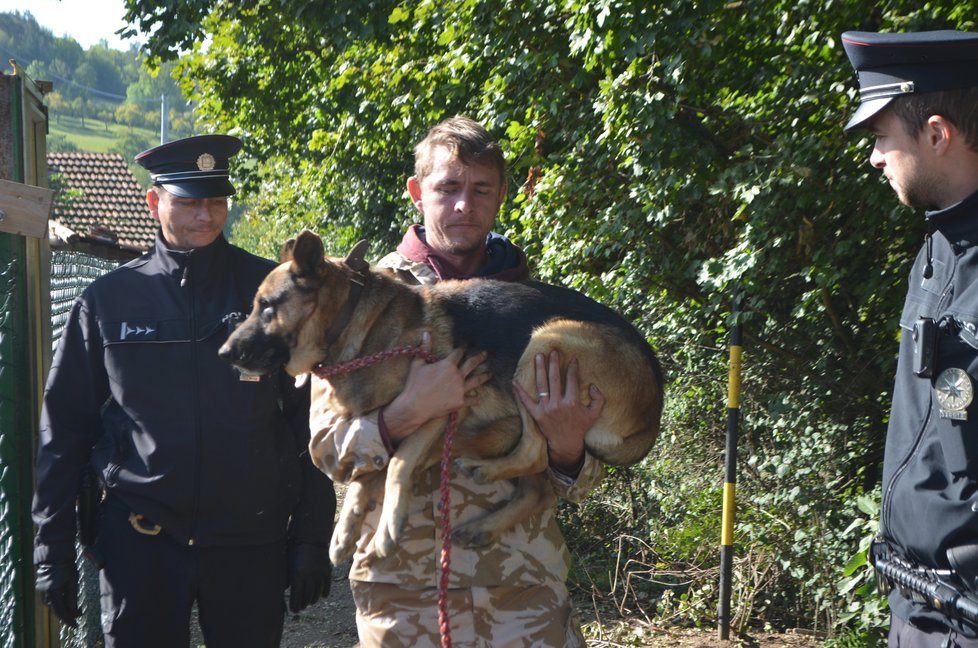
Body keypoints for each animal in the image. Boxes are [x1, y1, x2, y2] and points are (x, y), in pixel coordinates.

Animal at [219, 230, 664, 564]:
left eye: (266, 306)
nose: (223, 353)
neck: (354, 325)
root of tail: (654, 410)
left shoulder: (439, 408)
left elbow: (397, 463)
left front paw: (386, 529)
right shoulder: (379, 423)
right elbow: (365, 473)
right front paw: (346, 530)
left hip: (545, 344)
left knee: (536, 451)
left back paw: (481, 471)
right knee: (536, 488)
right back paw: (482, 522)